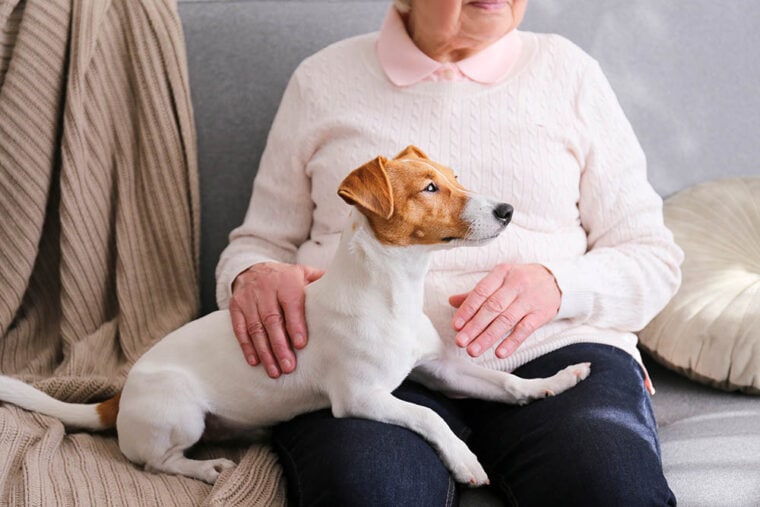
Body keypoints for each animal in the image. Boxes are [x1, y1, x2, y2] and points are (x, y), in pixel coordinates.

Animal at [0, 145, 592, 486]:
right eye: (429, 188)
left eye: (454, 176)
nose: (508, 210)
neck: (392, 291)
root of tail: (116, 401)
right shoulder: (361, 399)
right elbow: (430, 416)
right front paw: (465, 460)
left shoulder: (438, 368)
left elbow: (501, 383)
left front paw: (552, 382)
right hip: (179, 411)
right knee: (154, 462)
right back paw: (206, 468)